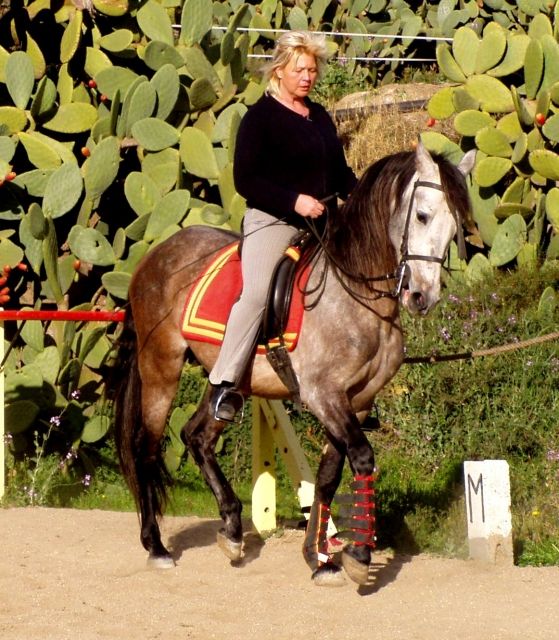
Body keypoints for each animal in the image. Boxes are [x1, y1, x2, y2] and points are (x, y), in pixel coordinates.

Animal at [111, 141, 475, 587]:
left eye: (455, 226)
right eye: (422, 215)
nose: (423, 296)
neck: (354, 292)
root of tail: (156, 254)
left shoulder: (357, 401)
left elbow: (328, 475)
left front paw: (318, 558)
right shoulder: (323, 396)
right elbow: (361, 457)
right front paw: (357, 554)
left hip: (228, 379)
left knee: (196, 436)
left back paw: (232, 530)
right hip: (161, 368)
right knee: (146, 447)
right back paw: (157, 546)